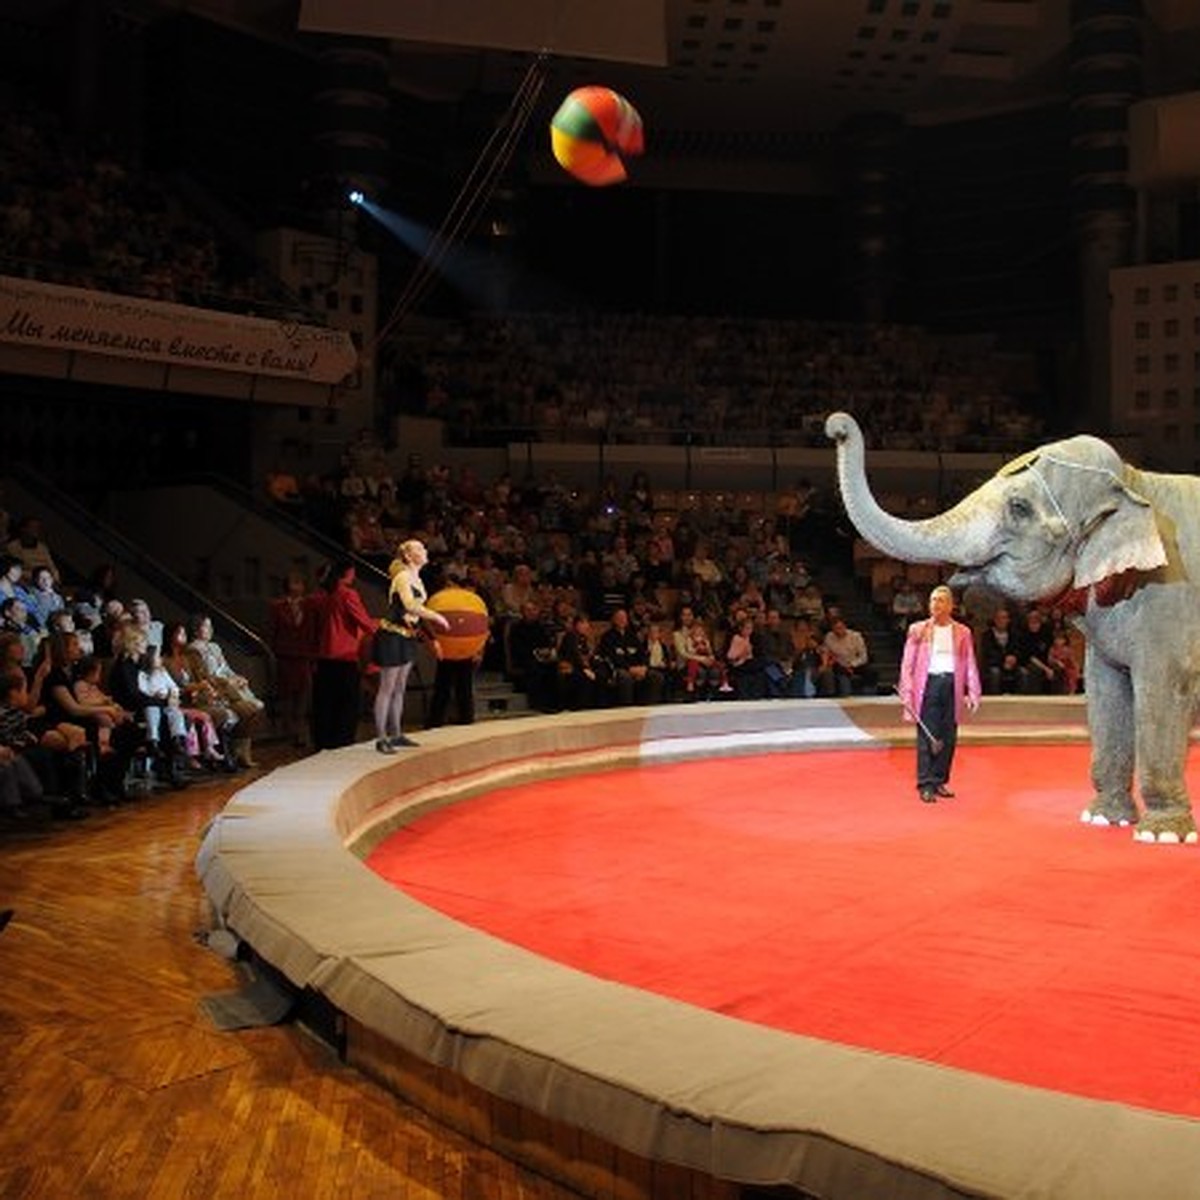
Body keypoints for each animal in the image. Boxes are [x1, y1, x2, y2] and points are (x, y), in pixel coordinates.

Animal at [825, 412, 1200, 844]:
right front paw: (1103, 819)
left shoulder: (1169, 599)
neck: (1137, 481)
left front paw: (1163, 836)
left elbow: (1163, 689)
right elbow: (1105, 691)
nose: (836, 427)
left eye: (1019, 507)